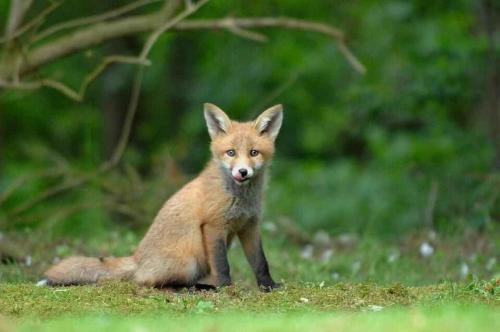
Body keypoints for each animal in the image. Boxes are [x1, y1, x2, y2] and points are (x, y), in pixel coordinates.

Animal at [41, 103, 284, 290]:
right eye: (231, 153)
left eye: (253, 153)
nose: (242, 172)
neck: (240, 197)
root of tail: (137, 258)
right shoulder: (213, 226)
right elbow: (223, 265)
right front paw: (226, 288)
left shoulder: (249, 226)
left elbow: (261, 262)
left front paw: (269, 286)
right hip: (190, 261)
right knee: (149, 282)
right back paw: (196, 288)